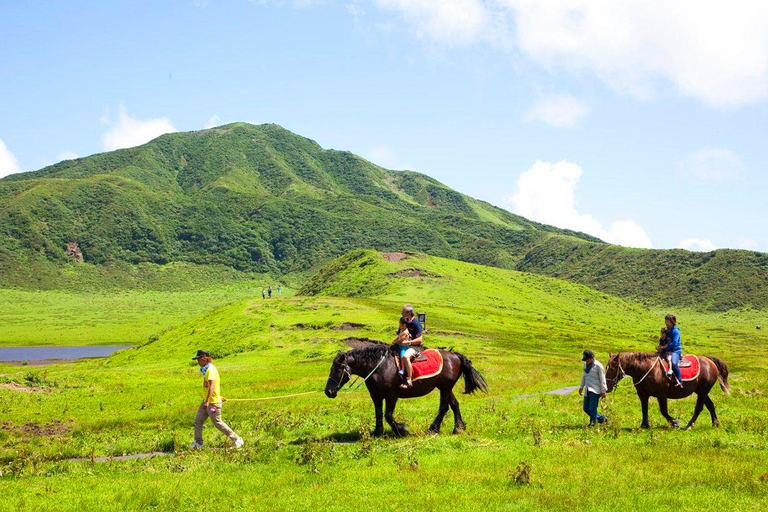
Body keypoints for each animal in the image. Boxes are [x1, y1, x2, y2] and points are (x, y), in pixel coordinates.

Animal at [324, 344, 486, 436]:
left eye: (337, 370)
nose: (328, 392)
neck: (379, 367)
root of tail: (455, 355)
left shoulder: (392, 395)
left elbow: (388, 415)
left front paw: (402, 430)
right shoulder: (376, 396)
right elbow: (378, 413)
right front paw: (377, 432)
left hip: (445, 388)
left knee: (444, 407)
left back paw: (433, 428)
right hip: (445, 387)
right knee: (454, 405)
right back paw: (458, 428)